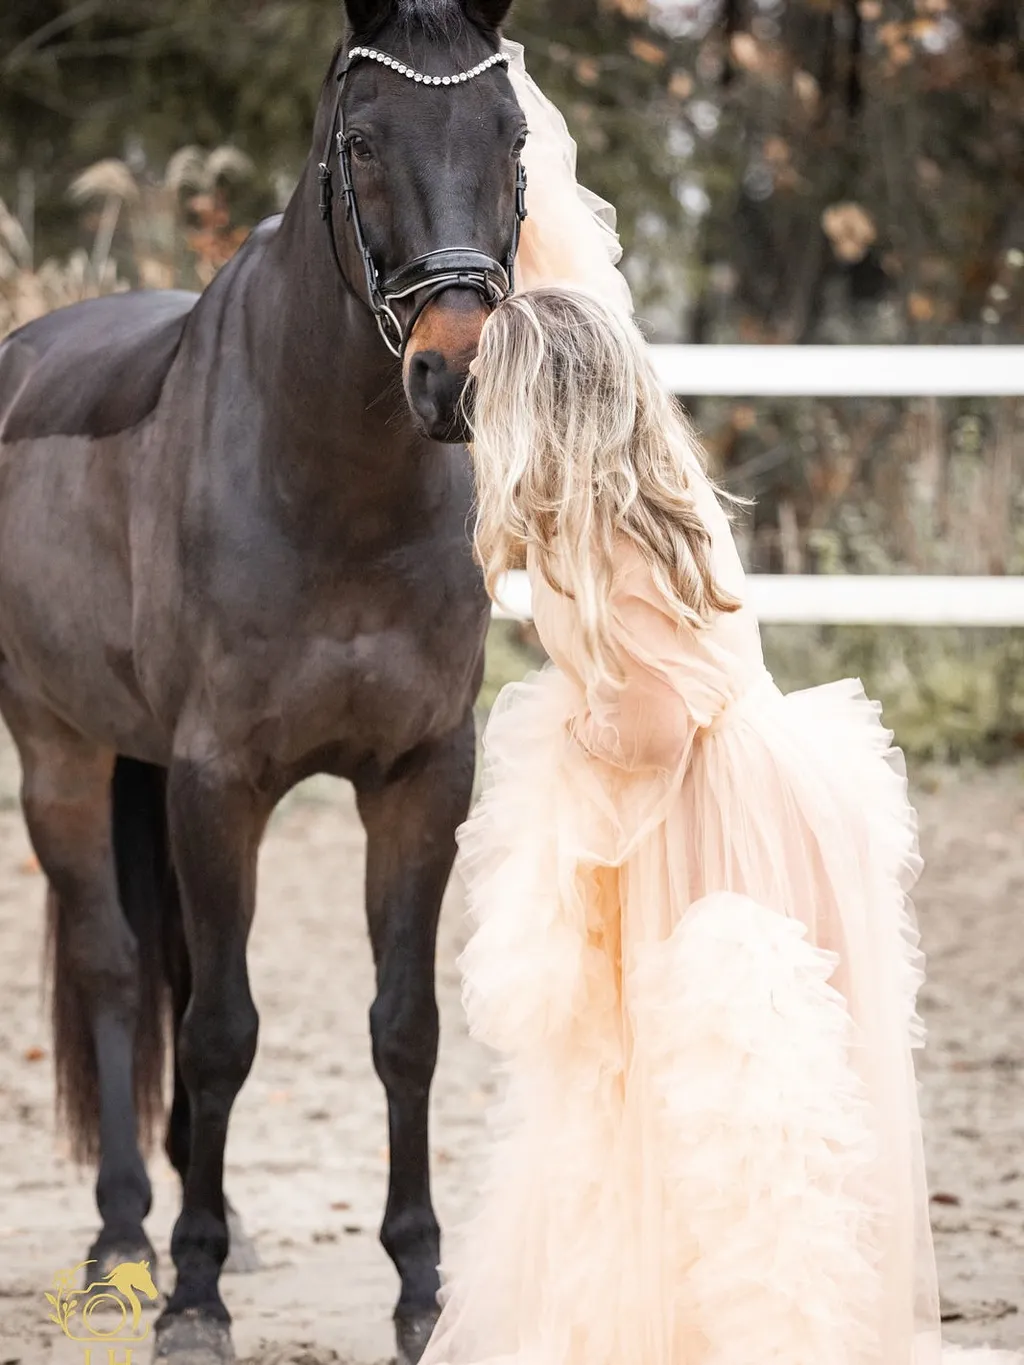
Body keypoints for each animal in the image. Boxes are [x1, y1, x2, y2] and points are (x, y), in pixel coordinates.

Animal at [0, 0, 525, 1360]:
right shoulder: (219, 780)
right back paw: (126, 1241)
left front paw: (419, 1290)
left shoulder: (418, 779)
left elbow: (405, 1029)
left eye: (511, 133)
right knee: (118, 968)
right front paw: (194, 1296)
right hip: (61, 752)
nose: (455, 372)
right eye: (363, 139)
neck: (332, 485)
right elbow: (221, 1030)